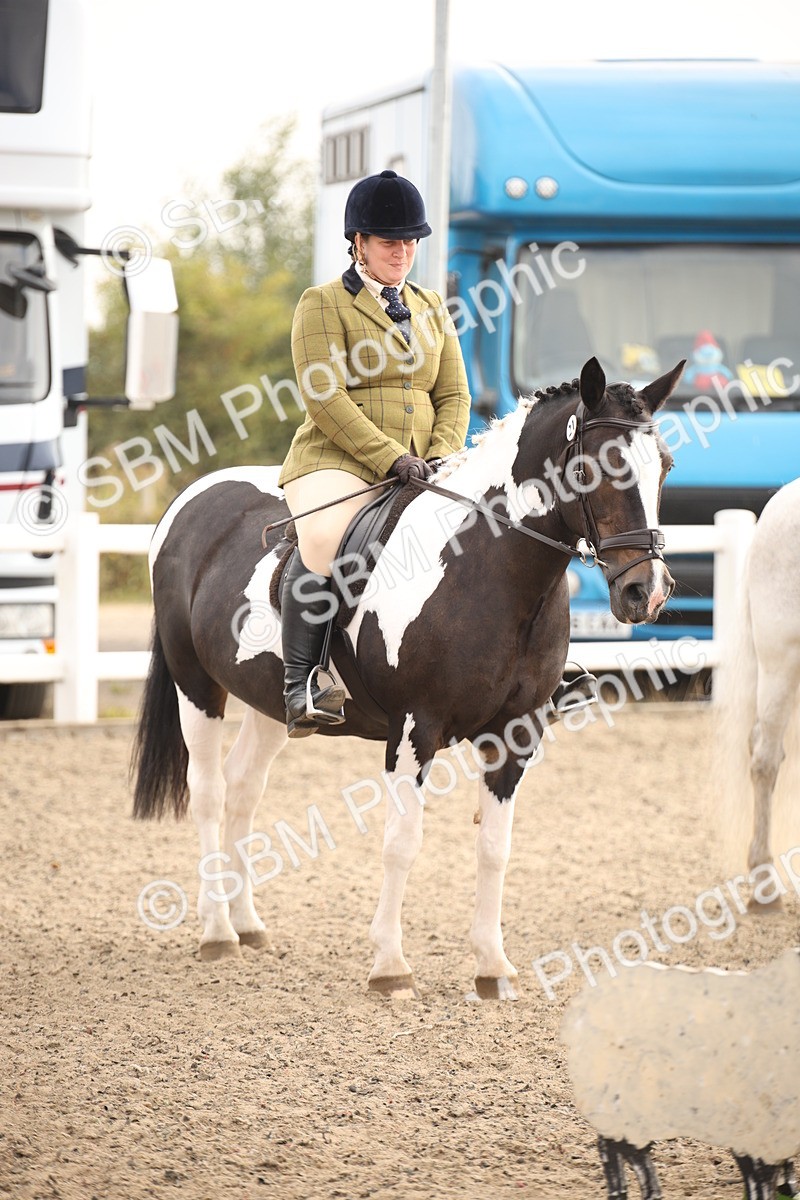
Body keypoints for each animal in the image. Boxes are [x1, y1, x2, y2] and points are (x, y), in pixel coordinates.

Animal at [131, 356, 682, 998]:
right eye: (595, 467)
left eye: (664, 466)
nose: (646, 592)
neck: (487, 569)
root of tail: (192, 496)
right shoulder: (416, 727)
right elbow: (402, 842)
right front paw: (390, 967)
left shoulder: (517, 732)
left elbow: (495, 847)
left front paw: (493, 968)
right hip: (195, 684)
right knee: (210, 793)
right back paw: (217, 932)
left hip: (269, 701)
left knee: (244, 787)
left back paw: (247, 926)